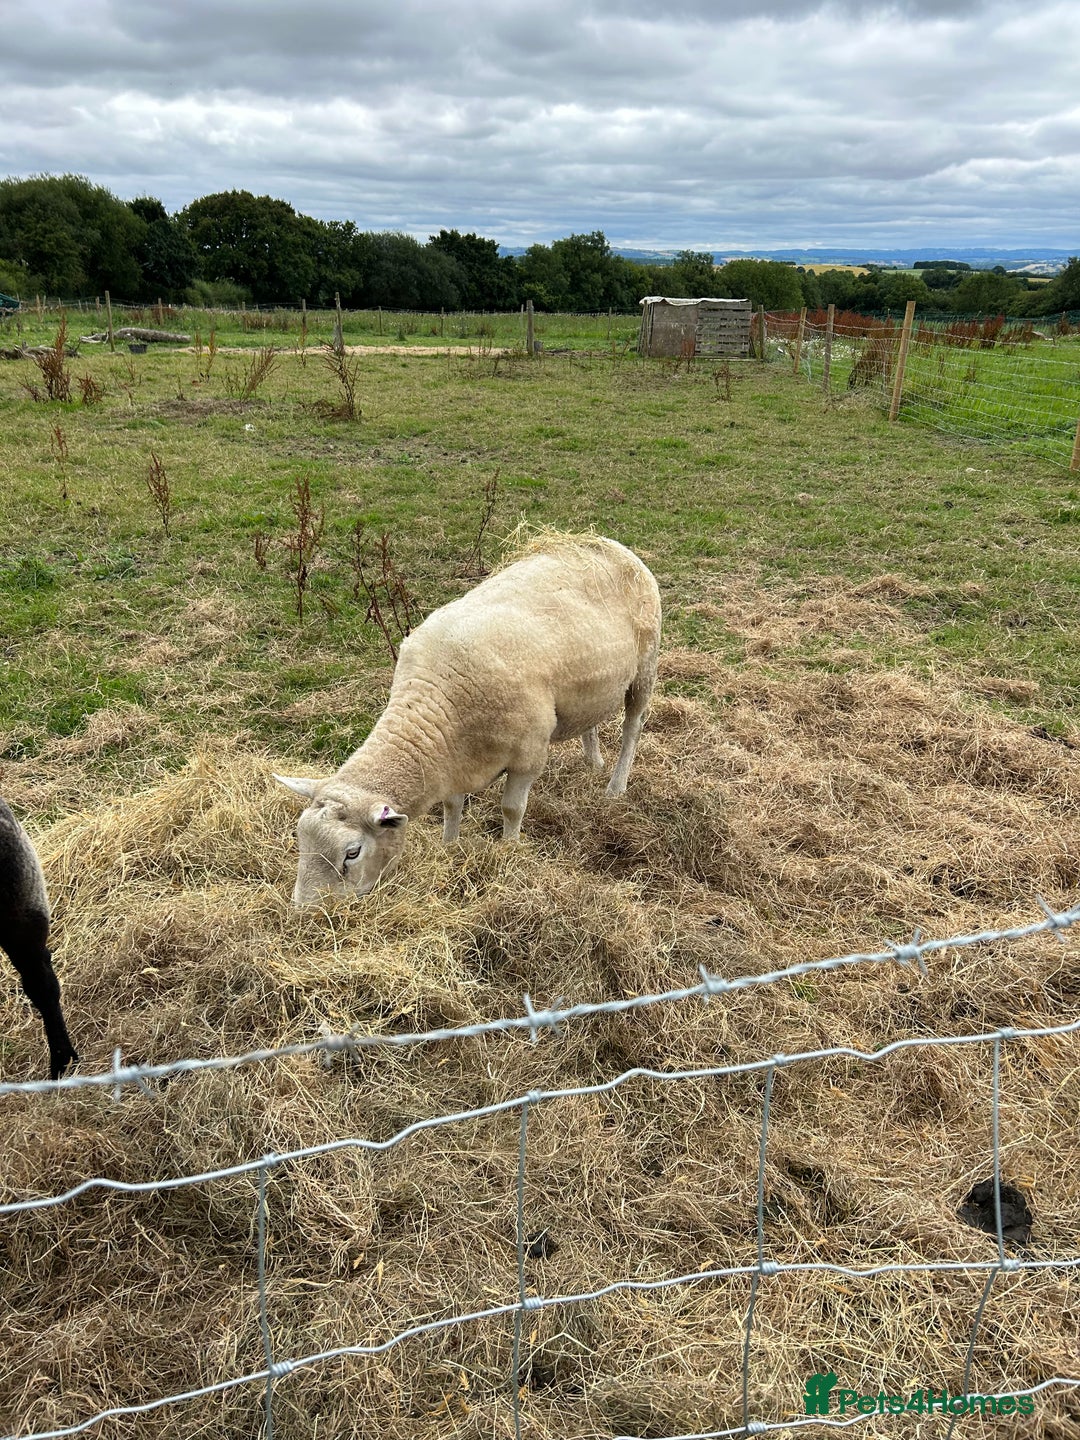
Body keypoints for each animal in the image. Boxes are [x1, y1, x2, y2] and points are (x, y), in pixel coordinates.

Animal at [276, 533, 661, 907]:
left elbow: (511, 809)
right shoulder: (454, 758)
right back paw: (593, 762)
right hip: (589, 688)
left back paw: (615, 786)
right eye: (299, 838)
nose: (306, 912)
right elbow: (452, 805)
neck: (438, 703)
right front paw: (450, 845)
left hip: (646, 665)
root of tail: (602, 542)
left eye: (352, 853)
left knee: (633, 725)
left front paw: (509, 852)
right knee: (591, 721)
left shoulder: (528, 756)